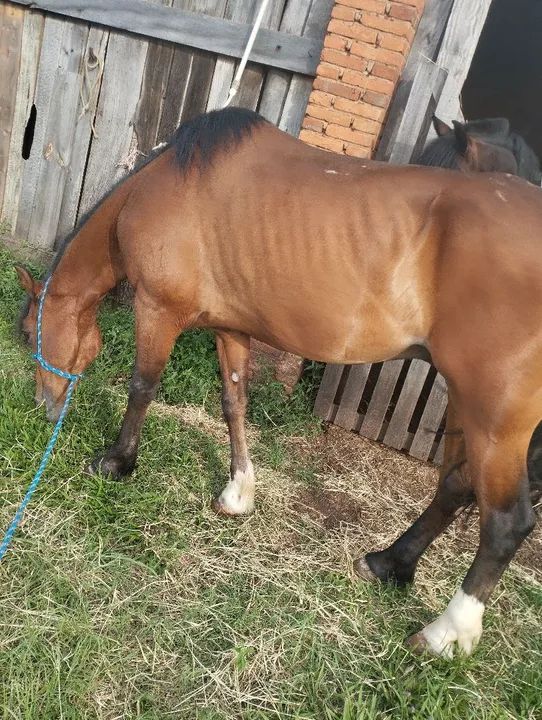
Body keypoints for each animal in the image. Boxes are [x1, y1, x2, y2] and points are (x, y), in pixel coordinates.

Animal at [15, 107, 542, 659]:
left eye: (27, 332)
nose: (43, 404)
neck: (163, 188)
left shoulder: (157, 310)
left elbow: (142, 387)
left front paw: (116, 463)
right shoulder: (231, 328)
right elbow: (234, 403)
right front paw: (238, 492)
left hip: (495, 416)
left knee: (506, 523)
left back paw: (447, 633)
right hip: (465, 403)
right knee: (455, 486)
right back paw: (387, 564)